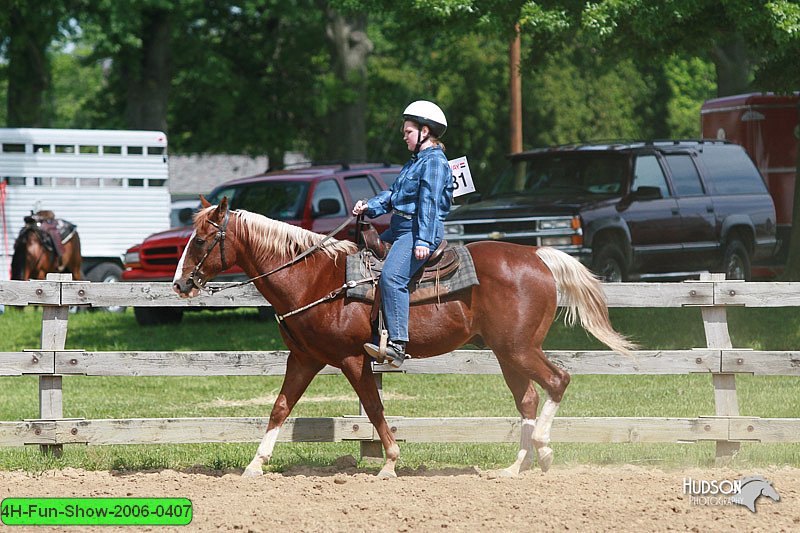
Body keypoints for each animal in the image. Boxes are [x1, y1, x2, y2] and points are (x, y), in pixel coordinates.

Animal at [172, 196, 636, 478]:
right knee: (527, 399)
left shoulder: (353, 359)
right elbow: (280, 408)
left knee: (558, 380)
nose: (180, 284)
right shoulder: (304, 358)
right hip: (508, 353)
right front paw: (255, 465)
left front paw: (390, 464)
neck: (313, 278)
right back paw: (513, 468)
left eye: (201, 239)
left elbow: (375, 409)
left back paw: (543, 449)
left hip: (519, 348)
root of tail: (538, 256)